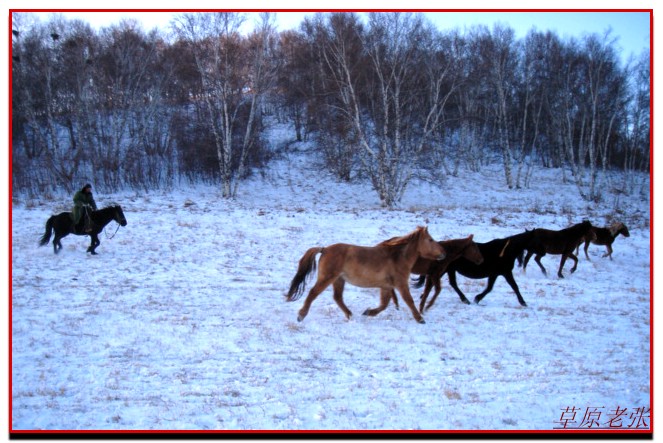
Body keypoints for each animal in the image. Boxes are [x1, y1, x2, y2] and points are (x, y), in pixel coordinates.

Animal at [286, 227, 446, 324]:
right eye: (430, 239)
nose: (443, 253)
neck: (397, 257)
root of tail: (324, 249)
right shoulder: (401, 284)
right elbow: (409, 301)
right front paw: (420, 319)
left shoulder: (386, 286)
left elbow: (384, 304)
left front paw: (368, 312)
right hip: (328, 278)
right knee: (313, 293)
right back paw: (301, 315)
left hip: (339, 280)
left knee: (337, 297)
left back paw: (350, 315)